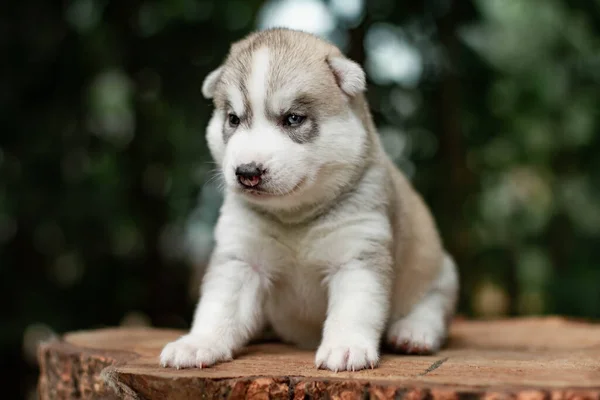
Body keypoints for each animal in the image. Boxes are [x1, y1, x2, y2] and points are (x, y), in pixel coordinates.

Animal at [159, 28, 460, 372]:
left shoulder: (357, 254)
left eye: (293, 118)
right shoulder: (242, 258)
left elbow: (354, 308)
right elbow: (220, 305)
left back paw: (413, 332)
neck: (297, 218)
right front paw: (199, 342)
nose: (247, 173)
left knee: (432, 305)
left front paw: (346, 346)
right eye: (233, 119)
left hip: (440, 271)